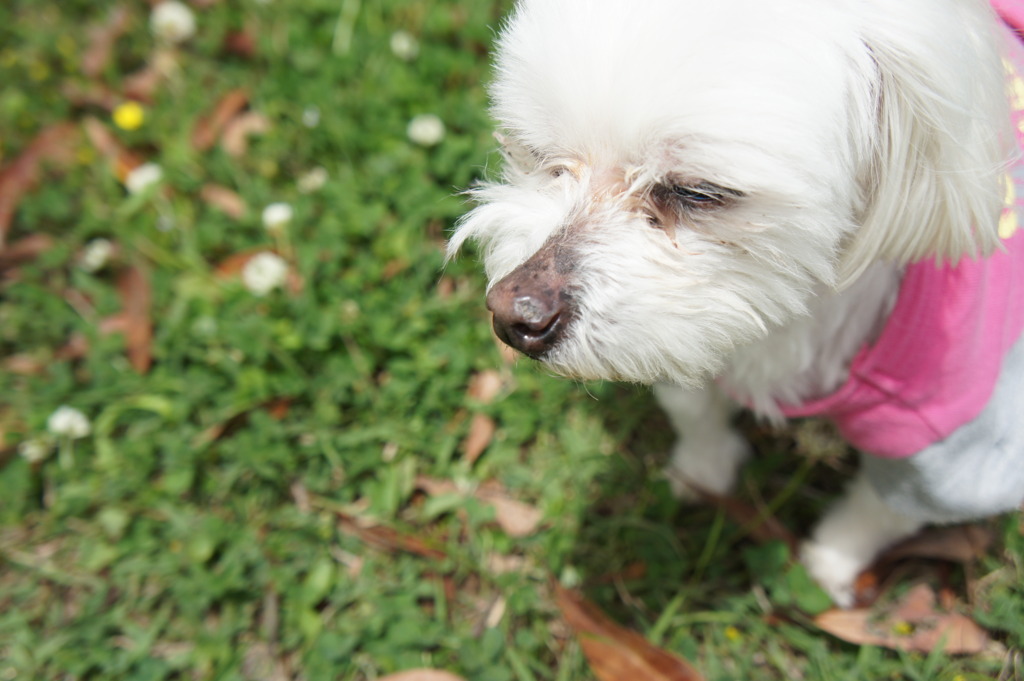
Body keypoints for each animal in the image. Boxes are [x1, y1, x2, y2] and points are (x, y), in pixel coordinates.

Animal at [452, 0, 1024, 606]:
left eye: (697, 192)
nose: (515, 316)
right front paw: (702, 468)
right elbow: (691, 405)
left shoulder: (955, 435)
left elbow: (887, 507)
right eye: (538, 155)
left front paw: (831, 562)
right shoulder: (682, 326)